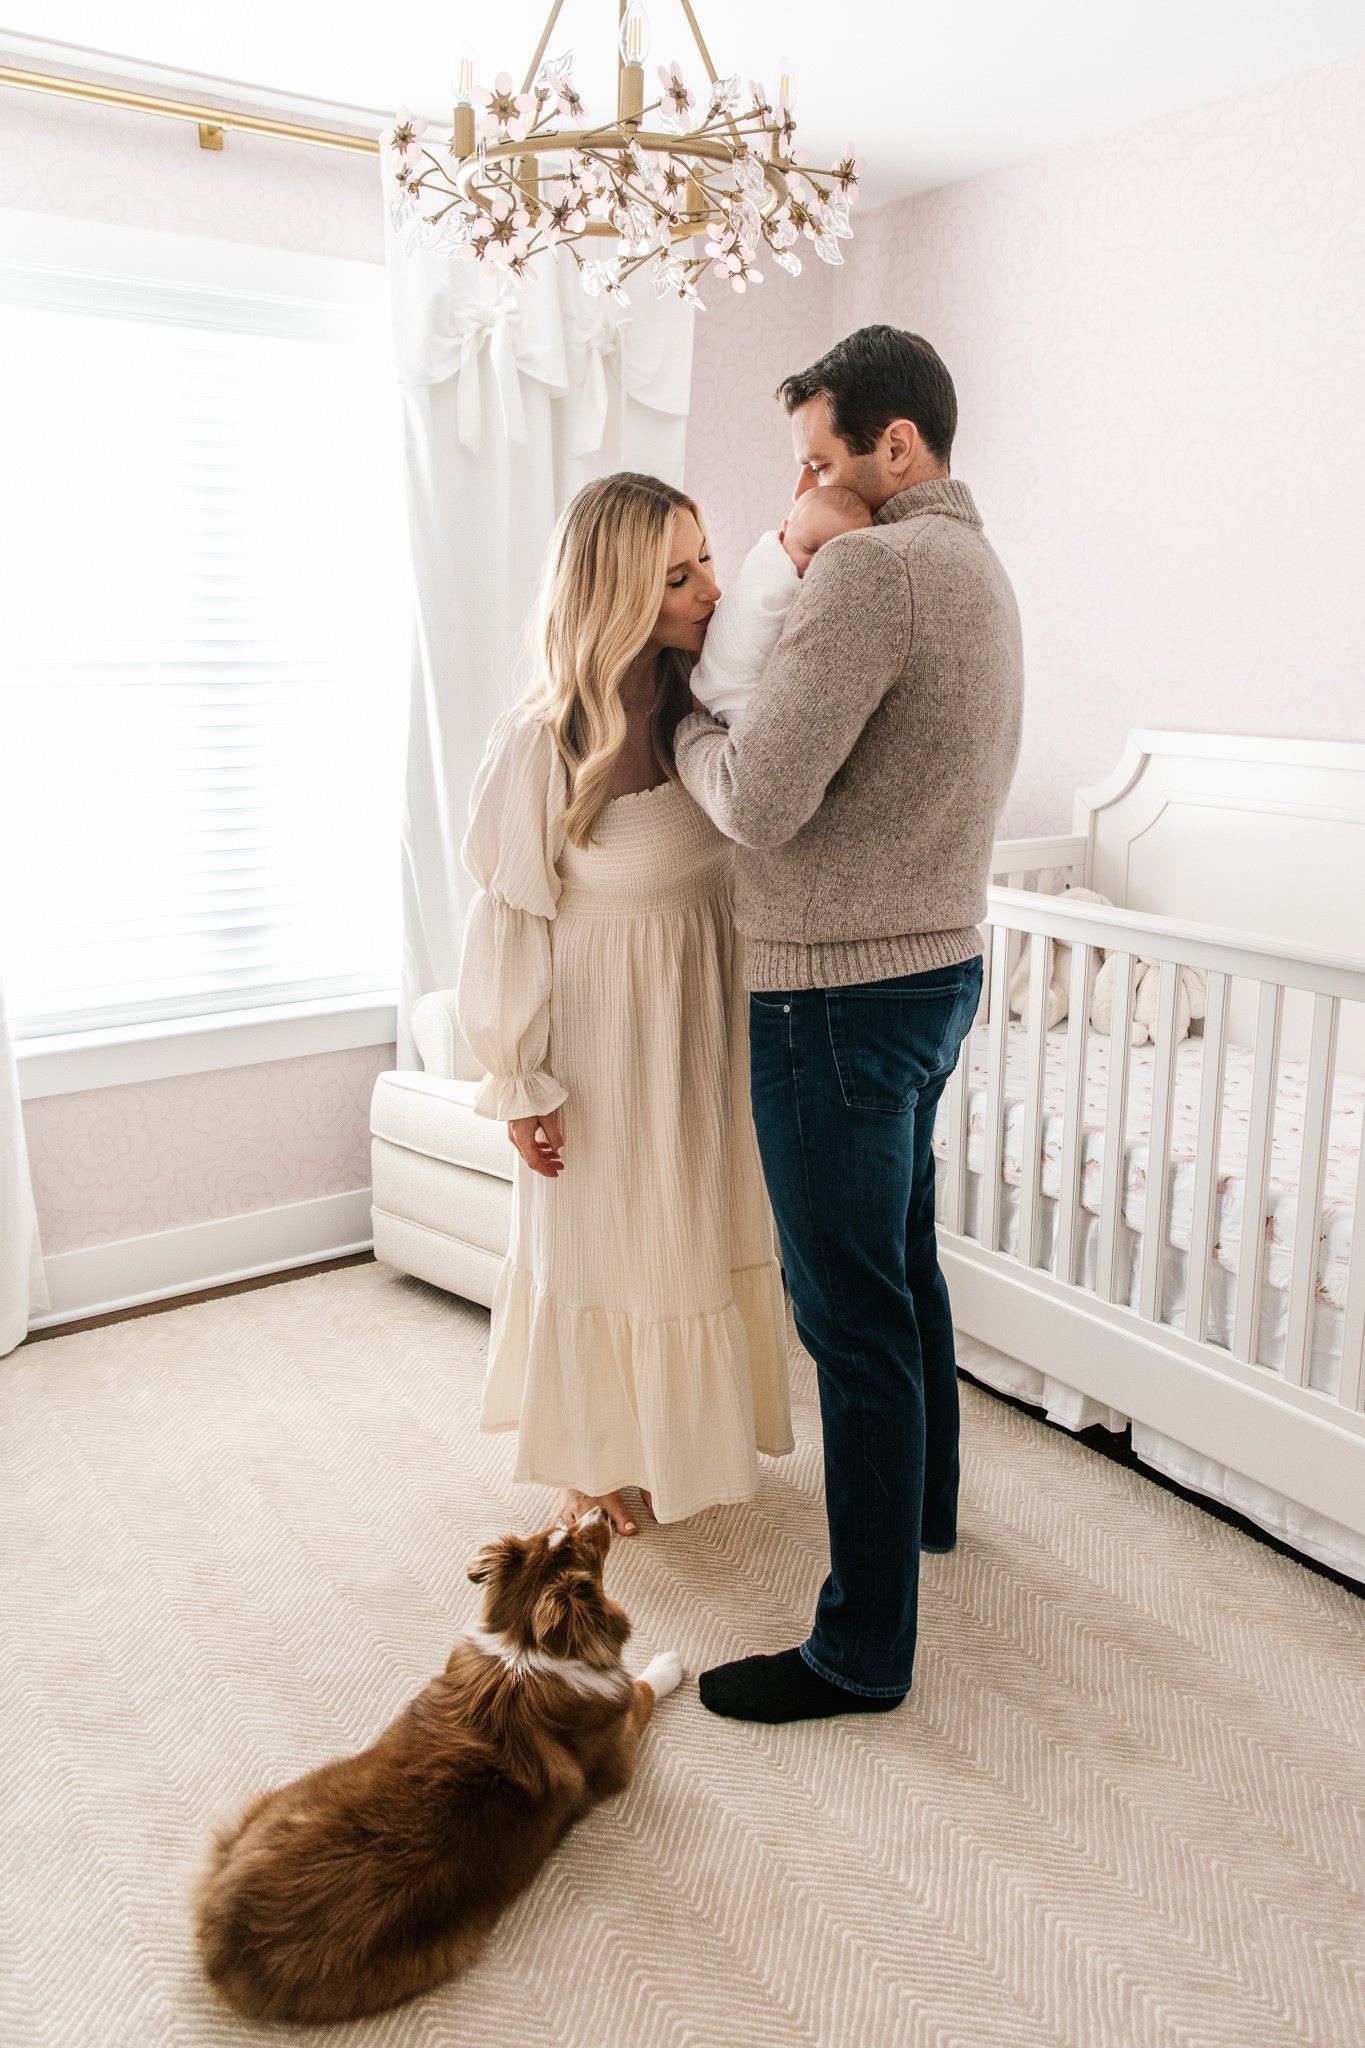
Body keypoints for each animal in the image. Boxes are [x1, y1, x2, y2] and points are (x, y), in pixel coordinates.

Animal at [192, 1515, 683, 2023]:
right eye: (583, 1545)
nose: (600, 1516)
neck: (525, 1644)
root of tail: (225, 1951)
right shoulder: (618, 1751)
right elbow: (644, 1689)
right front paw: (670, 1664)